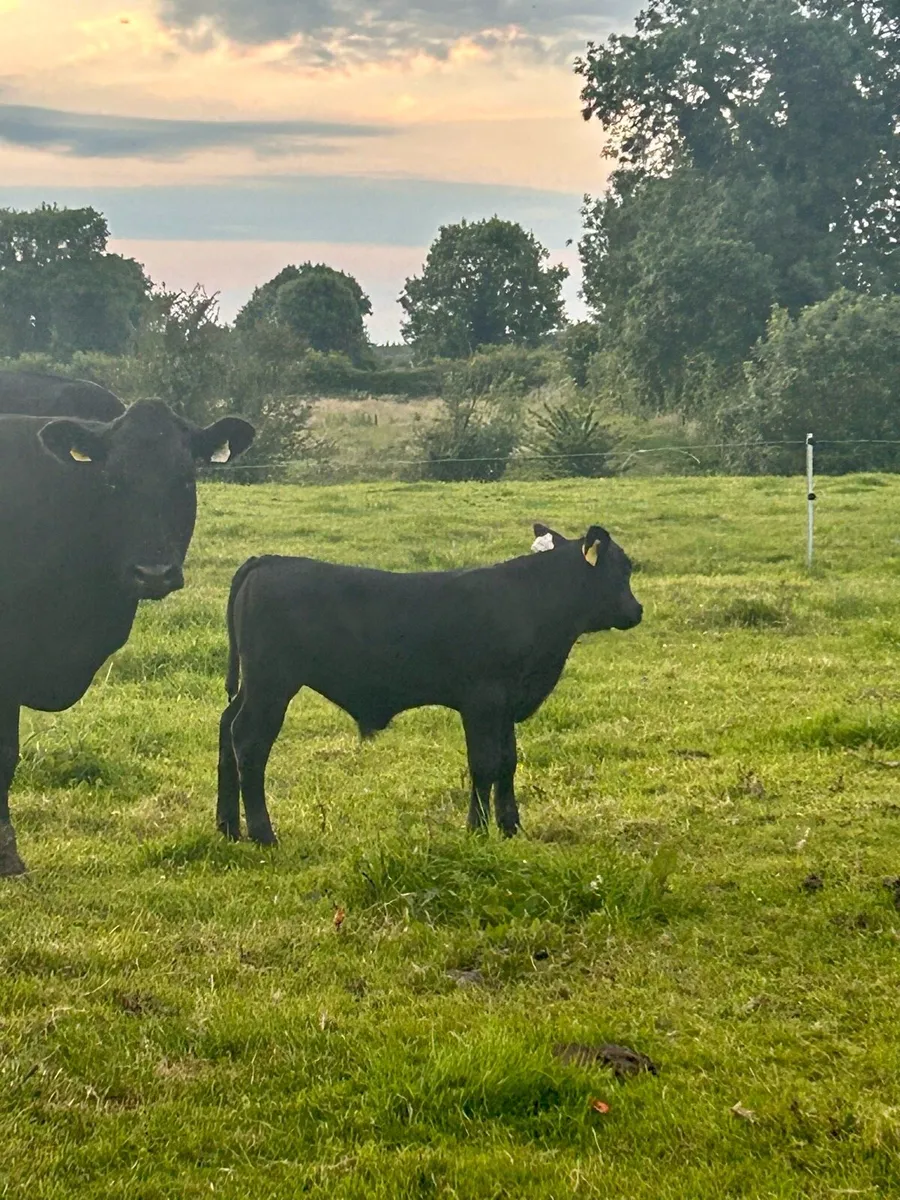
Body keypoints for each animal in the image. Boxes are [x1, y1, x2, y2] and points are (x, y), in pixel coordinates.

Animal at [216, 522, 642, 846]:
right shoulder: (482, 700)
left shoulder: (505, 705)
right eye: (622, 569)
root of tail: (268, 560)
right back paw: (263, 835)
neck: (531, 603)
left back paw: (228, 827)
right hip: (271, 686)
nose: (637, 611)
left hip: (254, 686)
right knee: (248, 743)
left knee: (225, 728)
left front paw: (510, 827)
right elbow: (484, 764)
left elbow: (508, 762)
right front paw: (477, 829)